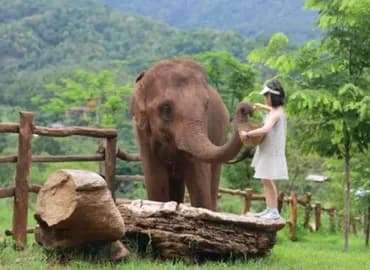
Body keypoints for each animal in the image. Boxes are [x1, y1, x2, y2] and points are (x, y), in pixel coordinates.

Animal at [131, 58, 254, 211]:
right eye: (165, 108)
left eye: (206, 105)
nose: (246, 108)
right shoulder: (143, 134)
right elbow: (156, 183)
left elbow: (200, 186)